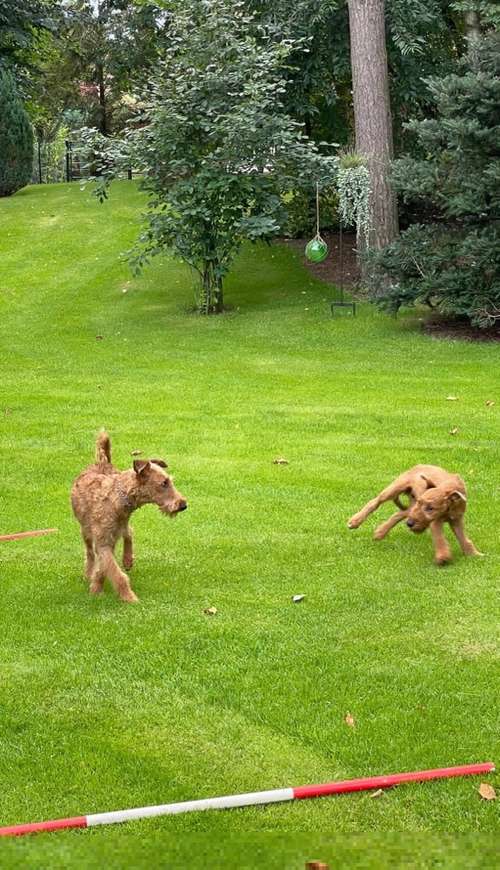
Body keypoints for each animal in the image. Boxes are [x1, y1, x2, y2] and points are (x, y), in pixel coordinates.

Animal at [71, 432, 188, 604]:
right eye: (164, 483)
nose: (183, 504)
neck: (118, 497)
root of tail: (102, 463)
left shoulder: (110, 539)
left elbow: (106, 567)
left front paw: (97, 587)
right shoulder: (103, 542)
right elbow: (116, 574)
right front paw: (129, 597)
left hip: (118, 529)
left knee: (128, 533)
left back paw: (127, 559)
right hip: (86, 531)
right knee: (90, 552)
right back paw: (89, 573)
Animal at [346, 464, 482, 564]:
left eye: (430, 508)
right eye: (421, 503)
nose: (410, 524)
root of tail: (417, 465)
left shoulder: (457, 519)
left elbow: (463, 538)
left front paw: (473, 554)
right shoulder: (435, 521)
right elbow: (439, 538)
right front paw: (443, 557)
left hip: (410, 505)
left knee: (399, 514)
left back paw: (380, 532)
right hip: (395, 488)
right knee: (375, 502)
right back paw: (355, 521)